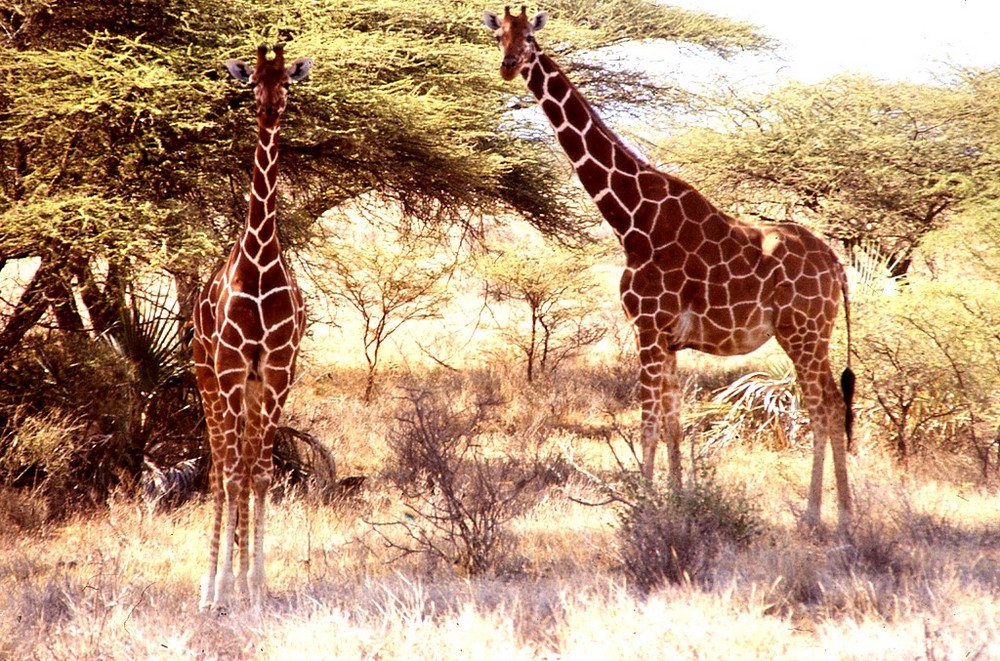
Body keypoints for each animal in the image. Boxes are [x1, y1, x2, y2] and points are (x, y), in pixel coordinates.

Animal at [484, 6, 852, 532]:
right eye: (499, 36)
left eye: (531, 38)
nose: (509, 66)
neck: (632, 221)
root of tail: (837, 264)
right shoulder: (670, 339)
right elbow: (674, 421)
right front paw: (678, 500)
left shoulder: (648, 328)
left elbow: (647, 422)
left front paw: (644, 509)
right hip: (809, 332)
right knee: (830, 403)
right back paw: (834, 512)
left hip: (802, 330)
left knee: (825, 405)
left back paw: (823, 515)